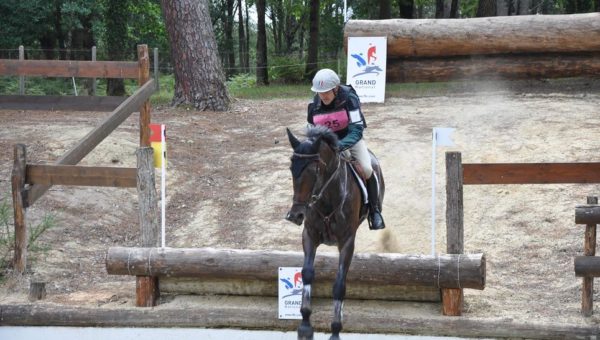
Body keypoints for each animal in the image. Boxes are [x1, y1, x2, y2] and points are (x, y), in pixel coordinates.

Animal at [284, 126, 384, 340]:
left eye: (314, 171)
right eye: (291, 168)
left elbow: (339, 286)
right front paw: (305, 326)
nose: (296, 215)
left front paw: (335, 331)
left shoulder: (346, 242)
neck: (326, 196)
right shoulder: (309, 236)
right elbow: (307, 274)